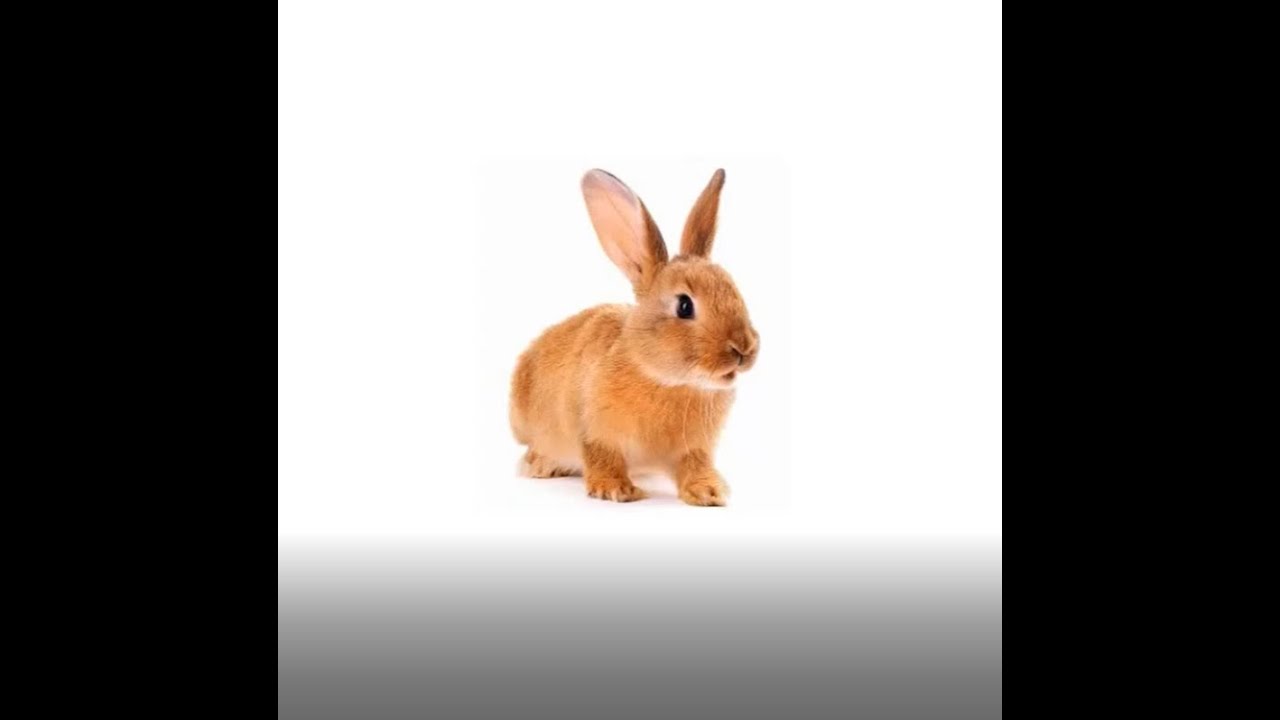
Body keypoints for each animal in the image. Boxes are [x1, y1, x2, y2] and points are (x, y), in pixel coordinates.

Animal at [509, 169, 759, 505]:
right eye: (684, 306)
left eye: (735, 290)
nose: (744, 348)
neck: (663, 378)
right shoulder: (596, 432)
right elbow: (602, 456)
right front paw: (615, 489)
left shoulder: (694, 448)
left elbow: (695, 466)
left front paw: (709, 491)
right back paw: (540, 466)